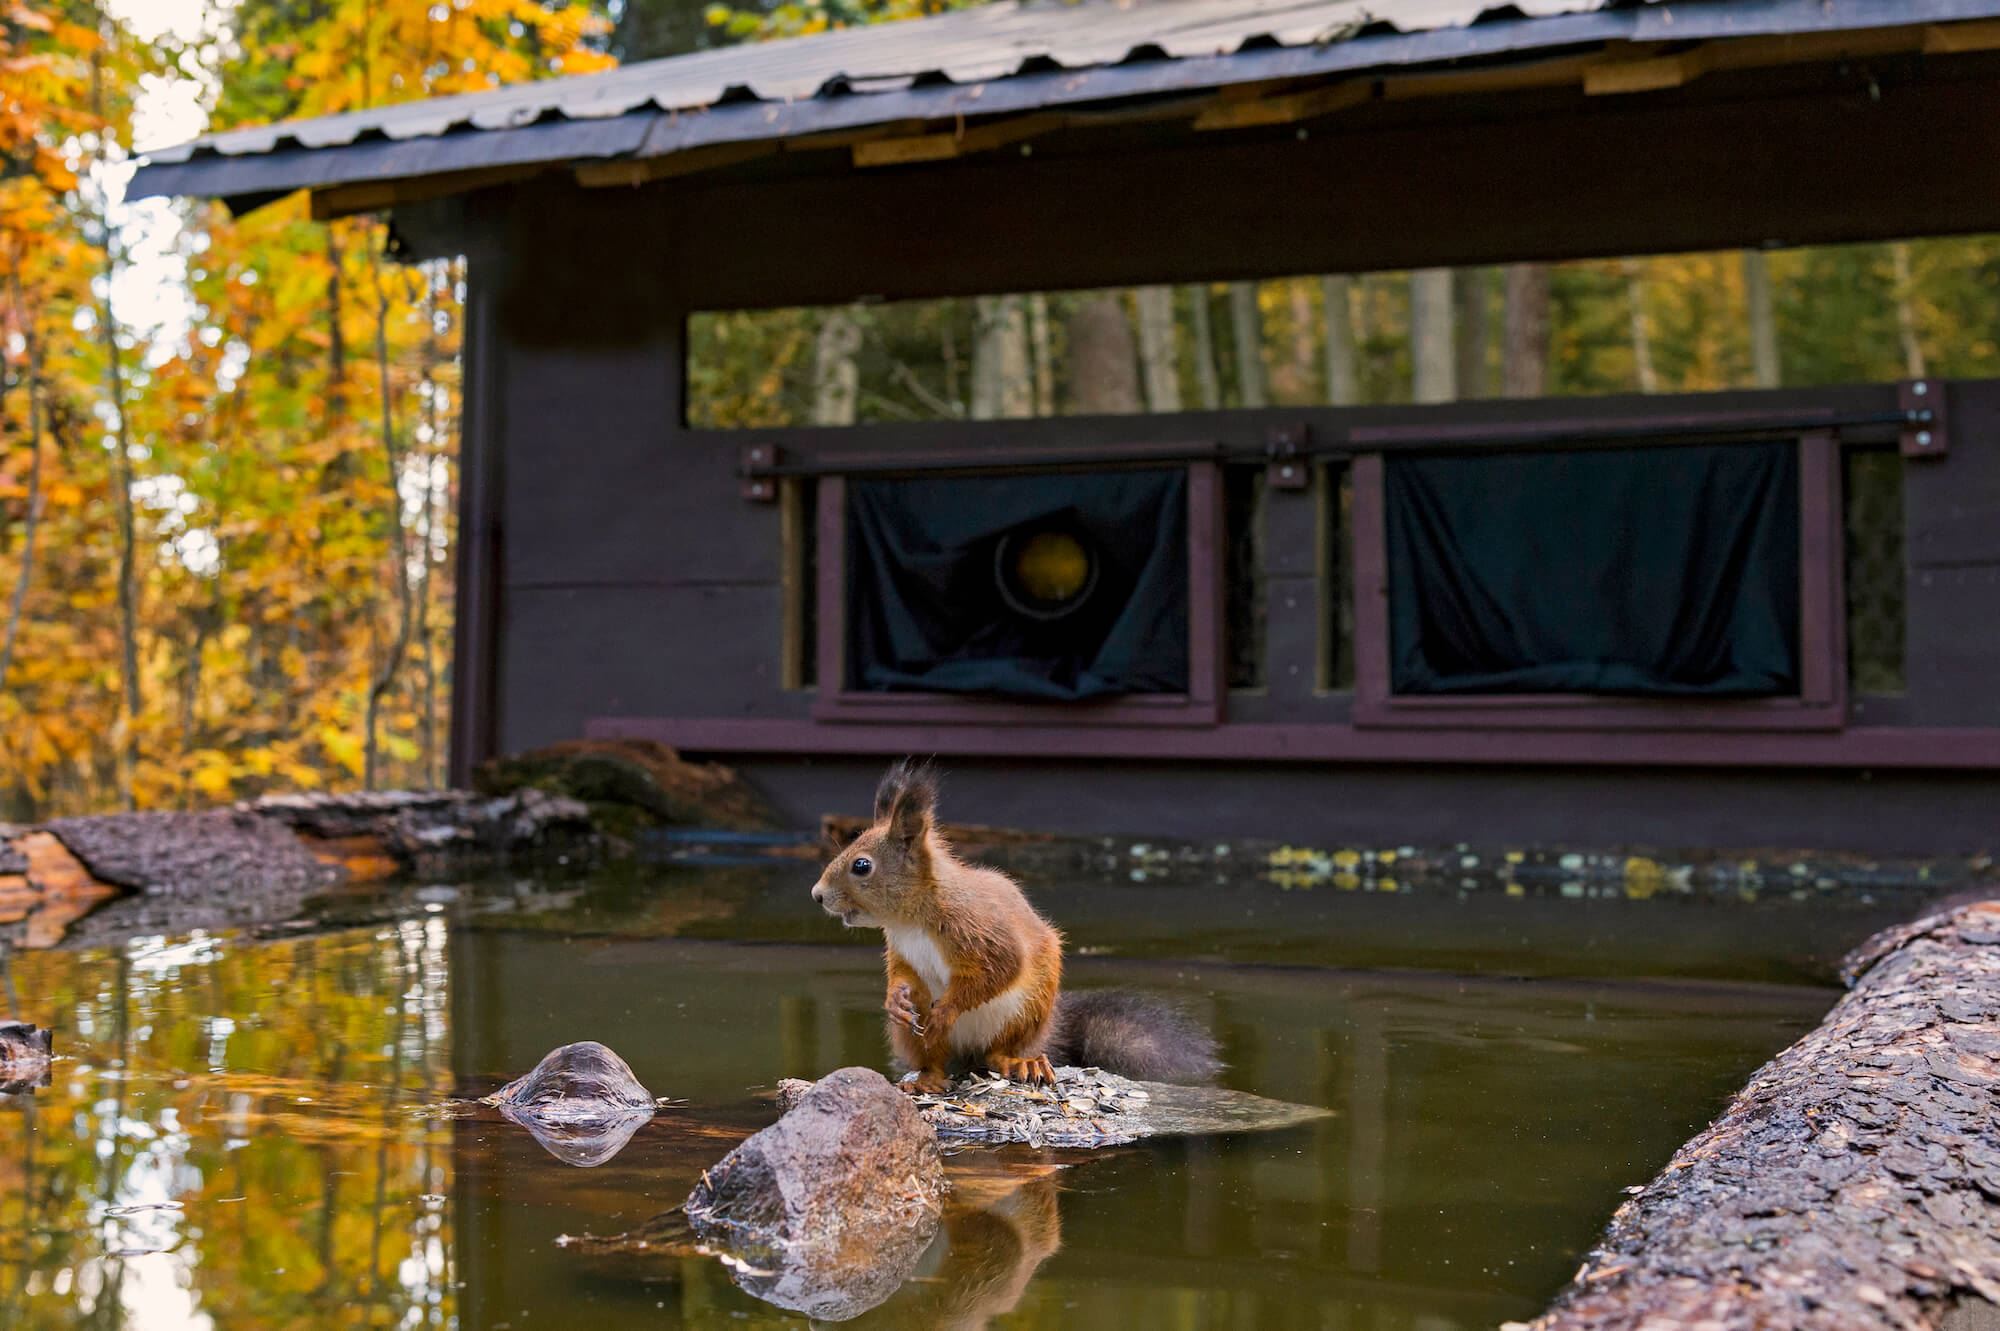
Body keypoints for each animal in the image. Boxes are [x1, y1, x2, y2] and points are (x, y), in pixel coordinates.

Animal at [808, 755, 1216, 1087]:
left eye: (862, 866)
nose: (817, 894)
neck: (911, 919)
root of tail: (967, 1055)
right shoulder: (901, 948)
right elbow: (902, 974)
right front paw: (895, 999)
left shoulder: (980, 929)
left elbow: (1000, 969)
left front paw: (948, 1010)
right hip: (914, 1035)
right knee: (933, 1058)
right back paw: (926, 1078)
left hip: (1026, 1012)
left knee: (998, 1053)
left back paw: (1020, 1063)